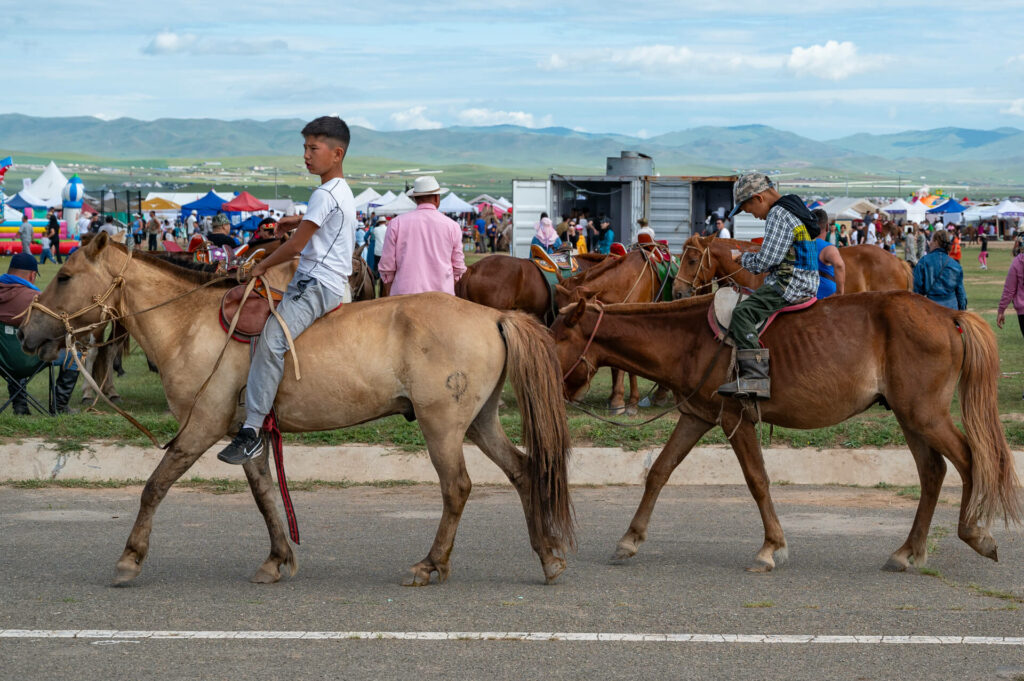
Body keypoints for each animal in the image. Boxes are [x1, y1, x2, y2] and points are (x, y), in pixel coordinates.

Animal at [18, 233, 577, 585]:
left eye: (64, 276)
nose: (26, 331)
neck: (188, 326)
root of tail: (495, 316)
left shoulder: (200, 428)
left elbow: (154, 486)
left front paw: (130, 559)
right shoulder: (246, 434)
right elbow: (265, 495)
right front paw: (277, 559)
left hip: (443, 426)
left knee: (457, 488)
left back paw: (431, 564)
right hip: (478, 423)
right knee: (524, 470)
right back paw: (547, 558)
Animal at [557, 292, 1019, 569]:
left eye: (556, 338)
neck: (690, 340)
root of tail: (949, 314)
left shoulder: (733, 419)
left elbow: (757, 480)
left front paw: (770, 548)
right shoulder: (698, 416)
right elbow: (659, 472)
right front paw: (630, 539)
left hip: (924, 416)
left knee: (970, 461)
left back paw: (975, 534)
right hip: (911, 418)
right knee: (933, 473)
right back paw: (908, 551)